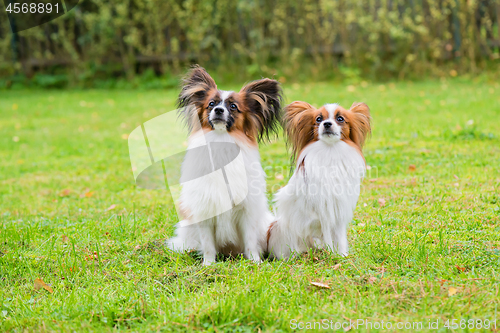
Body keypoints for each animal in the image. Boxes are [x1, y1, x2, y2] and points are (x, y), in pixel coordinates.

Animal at [167, 65, 284, 264]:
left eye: (233, 106)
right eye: (211, 104)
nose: (219, 110)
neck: (221, 141)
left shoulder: (247, 210)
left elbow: (250, 240)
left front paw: (255, 262)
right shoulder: (205, 208)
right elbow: (207, 244)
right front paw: (208, 264)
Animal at [266, 101, 372, 260]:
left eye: (340, 119)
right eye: (318, 119)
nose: (327, 124)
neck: (330, 150)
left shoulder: (338, 210)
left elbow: (339, 237)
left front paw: (341, 255)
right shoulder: (323, 209)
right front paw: (333, 254)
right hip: (281, 228)